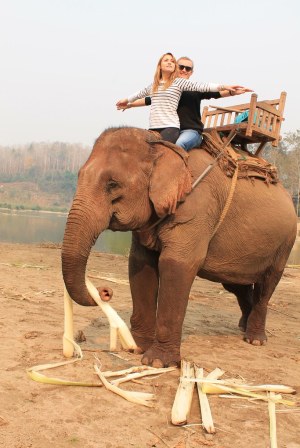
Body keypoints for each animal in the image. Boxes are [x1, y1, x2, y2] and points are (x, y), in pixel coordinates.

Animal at [61, 126, 298, 368]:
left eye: (112, 184)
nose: (104, 292)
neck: (161, 146)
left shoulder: (195, 207)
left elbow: (176, 265)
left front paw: (157, 362)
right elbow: (141, 263)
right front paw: (138, 347)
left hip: (286, 241)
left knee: (267, 283)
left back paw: (255, 339)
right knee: (236, 284)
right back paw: (243, 325)